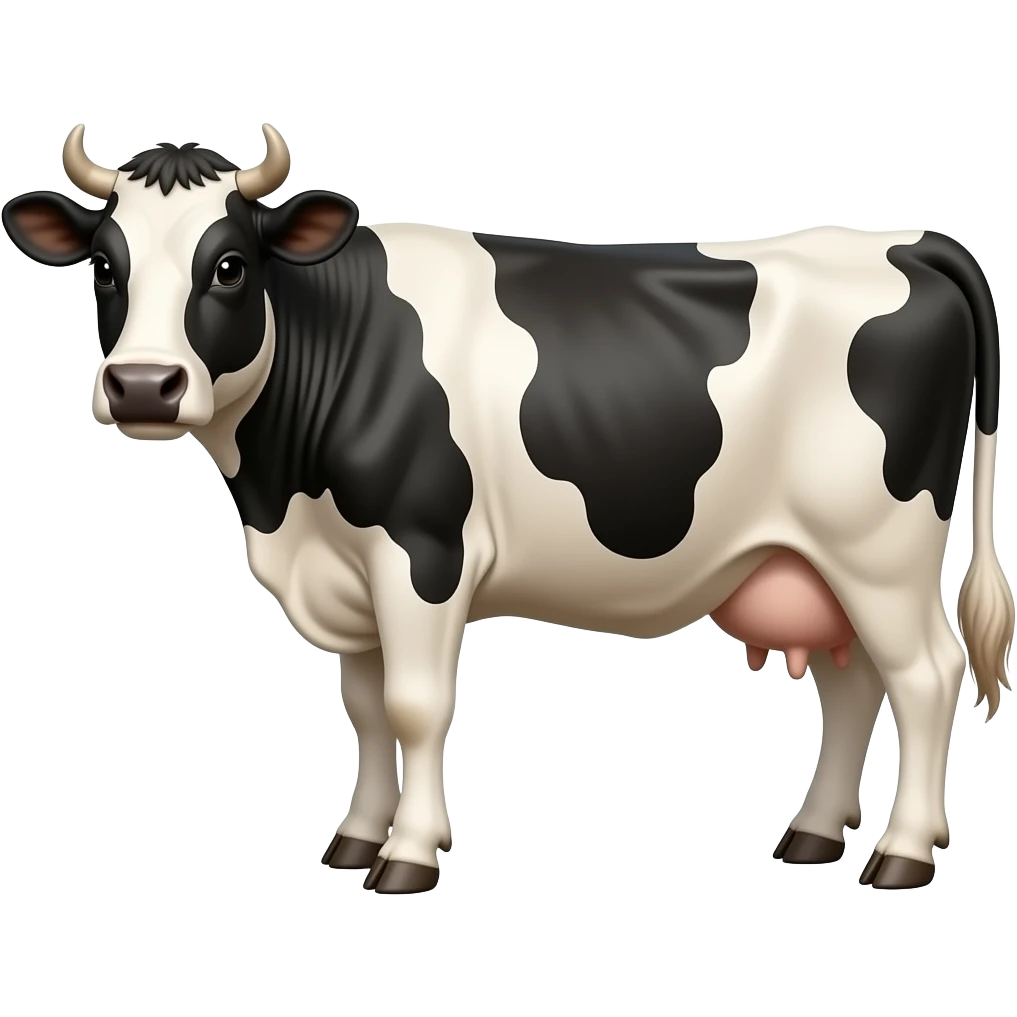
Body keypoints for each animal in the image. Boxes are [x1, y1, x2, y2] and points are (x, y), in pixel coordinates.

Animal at [3, 123, 1013, 893]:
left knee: (925, 676)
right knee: (853, 683)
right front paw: (356, 838)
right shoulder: (350, 573)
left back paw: (901, 853)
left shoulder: (419, 551)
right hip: (816, 560)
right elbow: (364, 708)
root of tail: (905, 239)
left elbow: (413, 706)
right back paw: (810, 834)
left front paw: (409, 856)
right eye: (104, 266)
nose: (142, 386)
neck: (283, 495)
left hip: (879, 546)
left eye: (228, 266)